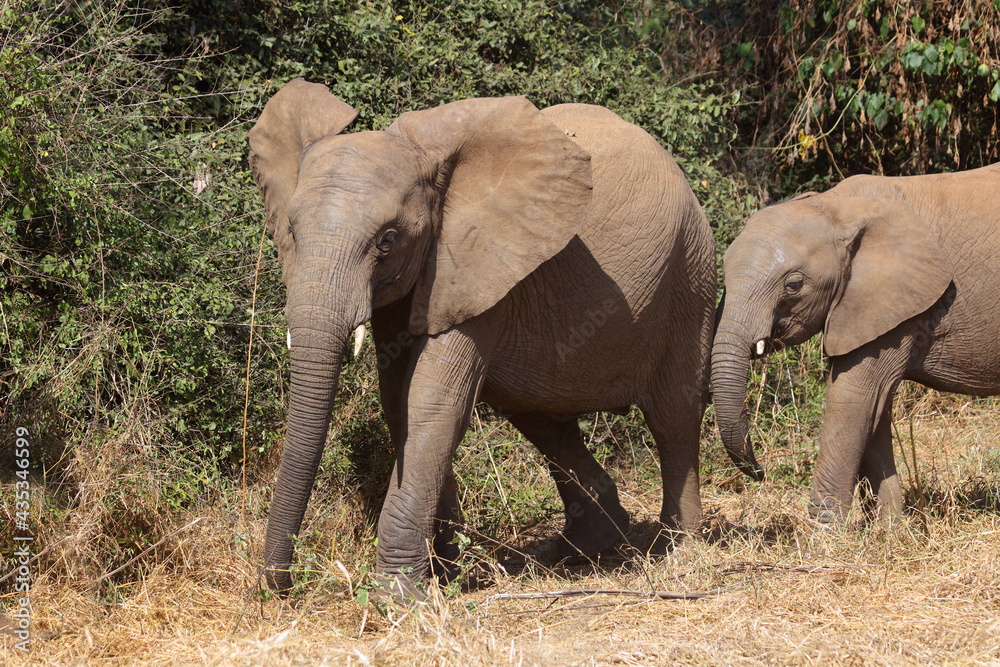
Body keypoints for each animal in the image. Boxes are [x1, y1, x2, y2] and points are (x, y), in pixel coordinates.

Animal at [250, 78, 720, 596]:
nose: (279, 586)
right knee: (543, 419)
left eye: (387, 241)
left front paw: (400, 596)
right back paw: (586, 548)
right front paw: (446, 573)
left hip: (691, 273)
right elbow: (398, 403)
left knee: (672, 415)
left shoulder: (478, 265)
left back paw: (677, 546)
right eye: (291, 232)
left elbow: (431, 403)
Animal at [712, 164, 1000, 524]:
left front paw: (822, 534)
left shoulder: (892, 302)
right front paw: (890, 529)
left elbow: (852, 397)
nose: (762, 472)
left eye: (794, 285)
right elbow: (875, 408)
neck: (837, 207)